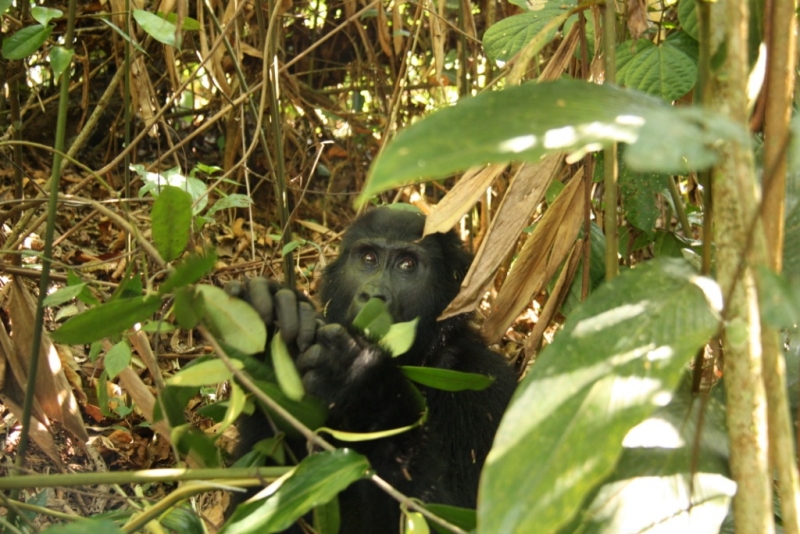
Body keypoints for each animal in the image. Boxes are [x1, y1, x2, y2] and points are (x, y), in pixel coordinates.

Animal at [228, 207, 516, 532]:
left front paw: (362, 379)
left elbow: (450, 513)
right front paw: (274, 328)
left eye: (407, 264)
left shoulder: (486, 385)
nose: (373, 295)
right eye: (368, 259)